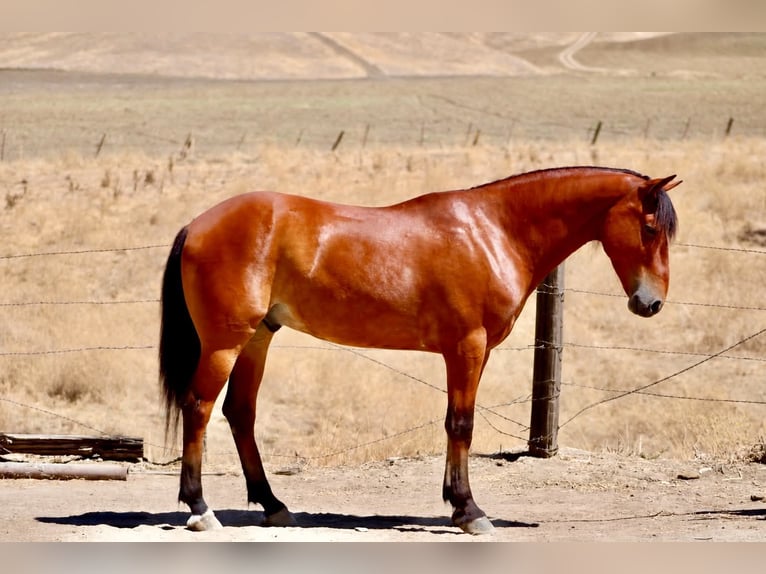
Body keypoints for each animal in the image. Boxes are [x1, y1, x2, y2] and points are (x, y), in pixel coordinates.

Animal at [159, 166, 680, 534]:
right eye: (650, 226)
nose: (651, 303)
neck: (494, 232)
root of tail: (197, 224)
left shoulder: (471, 353)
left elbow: (455, 424)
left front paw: (455, 502)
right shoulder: (466, 348)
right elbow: (462, 425)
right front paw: (470, 511)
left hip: (258, 338)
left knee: (239, 412)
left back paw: (274, 505)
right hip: (226, 342)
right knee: (199, 406)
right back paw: (200, 509)